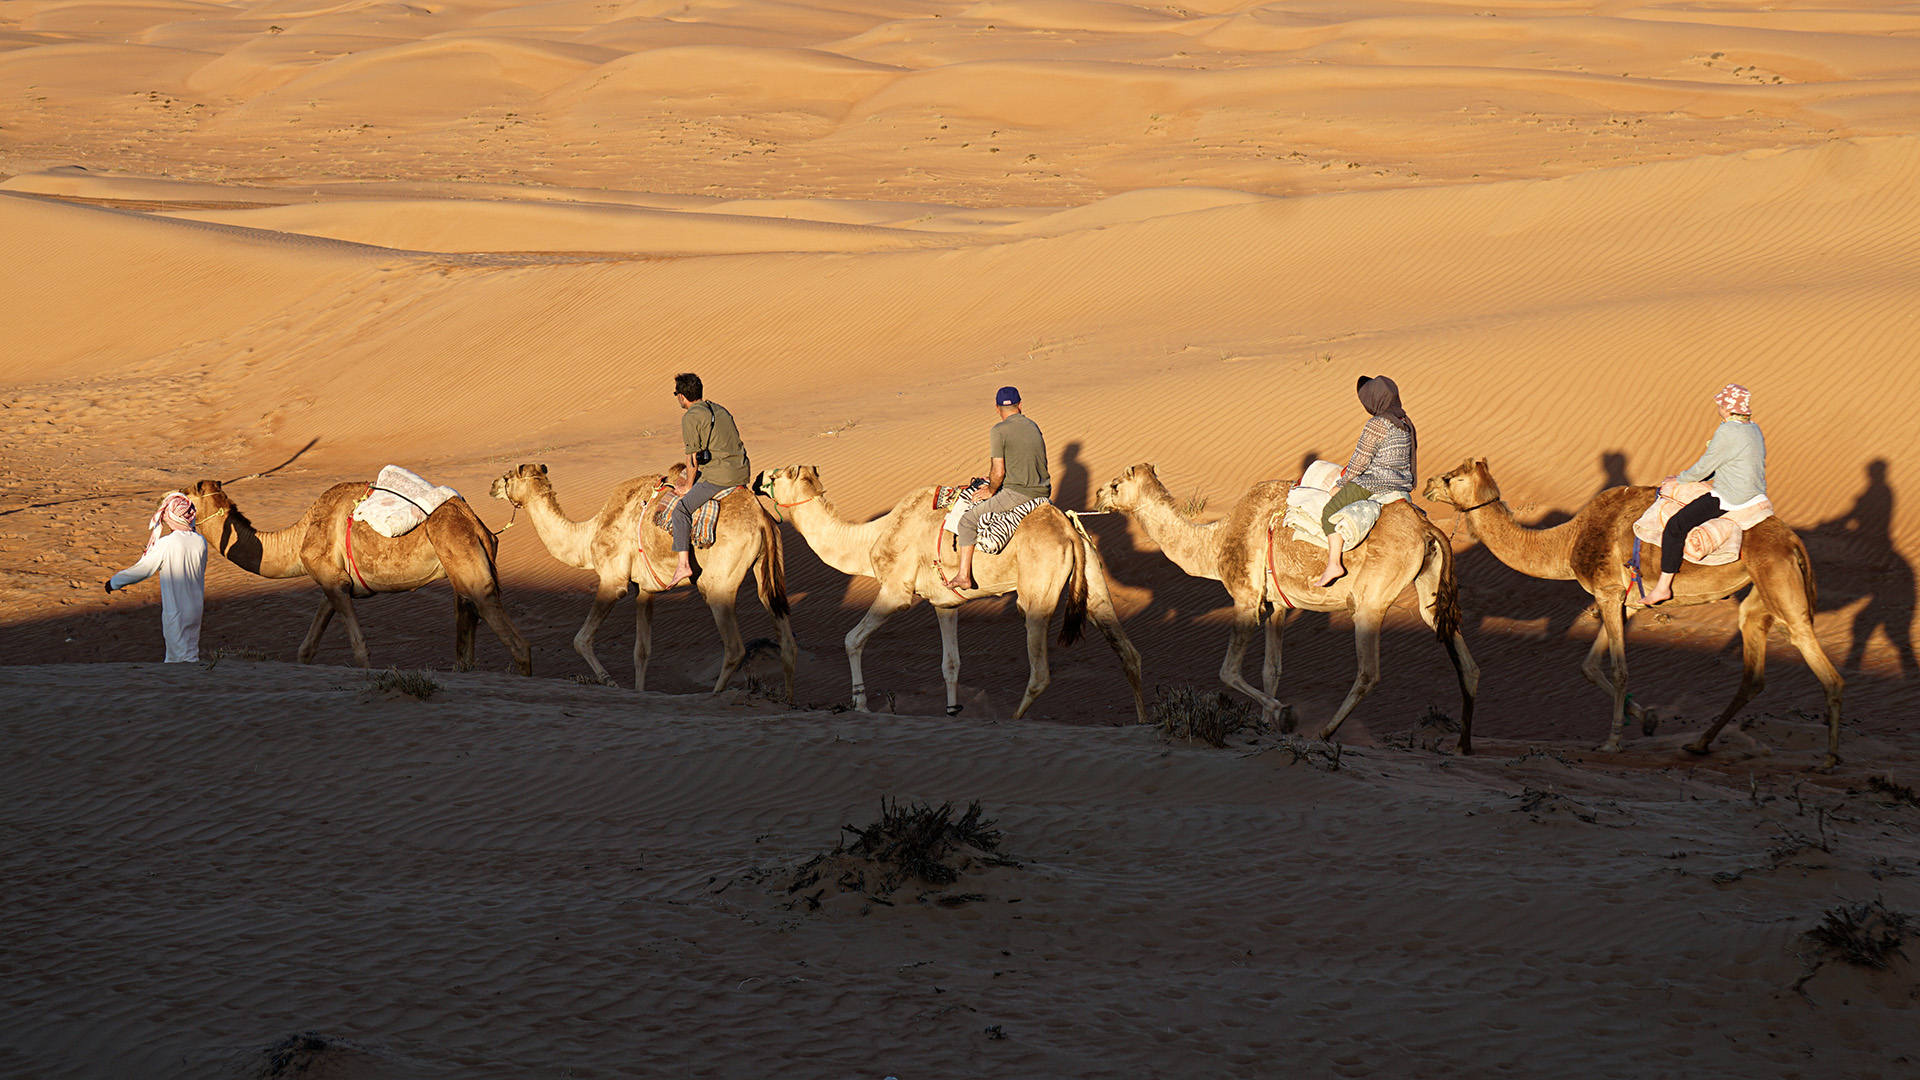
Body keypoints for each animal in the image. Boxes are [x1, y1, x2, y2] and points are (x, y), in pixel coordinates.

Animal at [184, 479, 532, 674]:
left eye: (185, 494)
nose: (173, 496)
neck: (298, 538)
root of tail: (479, 527)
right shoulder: (335, 583)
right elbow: (306, 648)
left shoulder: (333, 581)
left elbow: (360, 650)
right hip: (460, 566)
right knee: (466, 628)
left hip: (467, 562)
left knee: (514, 639)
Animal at [489, 463, 796, 699]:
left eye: (509, 476)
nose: (492, 485)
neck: (587, 536)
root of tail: (763, 520)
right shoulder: (644, 589)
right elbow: (642, 651)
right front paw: (638, 692)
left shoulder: (613, 580)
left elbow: (581, 639)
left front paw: (609, 681)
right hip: (767, 570)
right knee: (784, 636)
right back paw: (789, 701)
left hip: (719, 582)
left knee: (734, 647)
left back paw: (714, 696)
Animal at [754, 465, 1146, 722]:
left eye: (776, 476)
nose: (756, 480)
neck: (870, 539)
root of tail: (1069, 531)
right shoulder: (945, 603)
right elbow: (951, 663)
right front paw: (951, 711)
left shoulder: (896, 590)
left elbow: (852, 639)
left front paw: (861, 705)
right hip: (1093, 580)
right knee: (1127, 650)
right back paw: (1143, 721)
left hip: (1036, 594)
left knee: (1040, 672)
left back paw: (1011, 720)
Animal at [1095, 464, 1479, 751]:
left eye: (1116, 484)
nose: (1098, 496)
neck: (1214, 542)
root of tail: (1426, 527)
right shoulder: (1275, 605)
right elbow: (1272, 668)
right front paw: (1266, 724)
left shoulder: (1245, 596)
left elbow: (1228, 671)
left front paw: (1283, 714)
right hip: (1429, 587)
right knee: (1464, 659)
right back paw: (1463, 744)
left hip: (1370, 602)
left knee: (1369, 671)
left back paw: (1325, 732)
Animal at [1423, 458, 1844, 768]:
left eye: (1452, 477)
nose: (1427, 482)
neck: (1567, 542)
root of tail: (1793, 540)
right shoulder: (1621, 600)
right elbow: (1589, 667)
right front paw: (1647, 719)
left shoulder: (1608, 593)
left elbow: (1618, 669)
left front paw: (1612, 742)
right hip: (1759, 595)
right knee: (1752, 673)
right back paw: (1699, 744)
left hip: (1779, 584)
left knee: (1822, 665)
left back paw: (1829, 759)